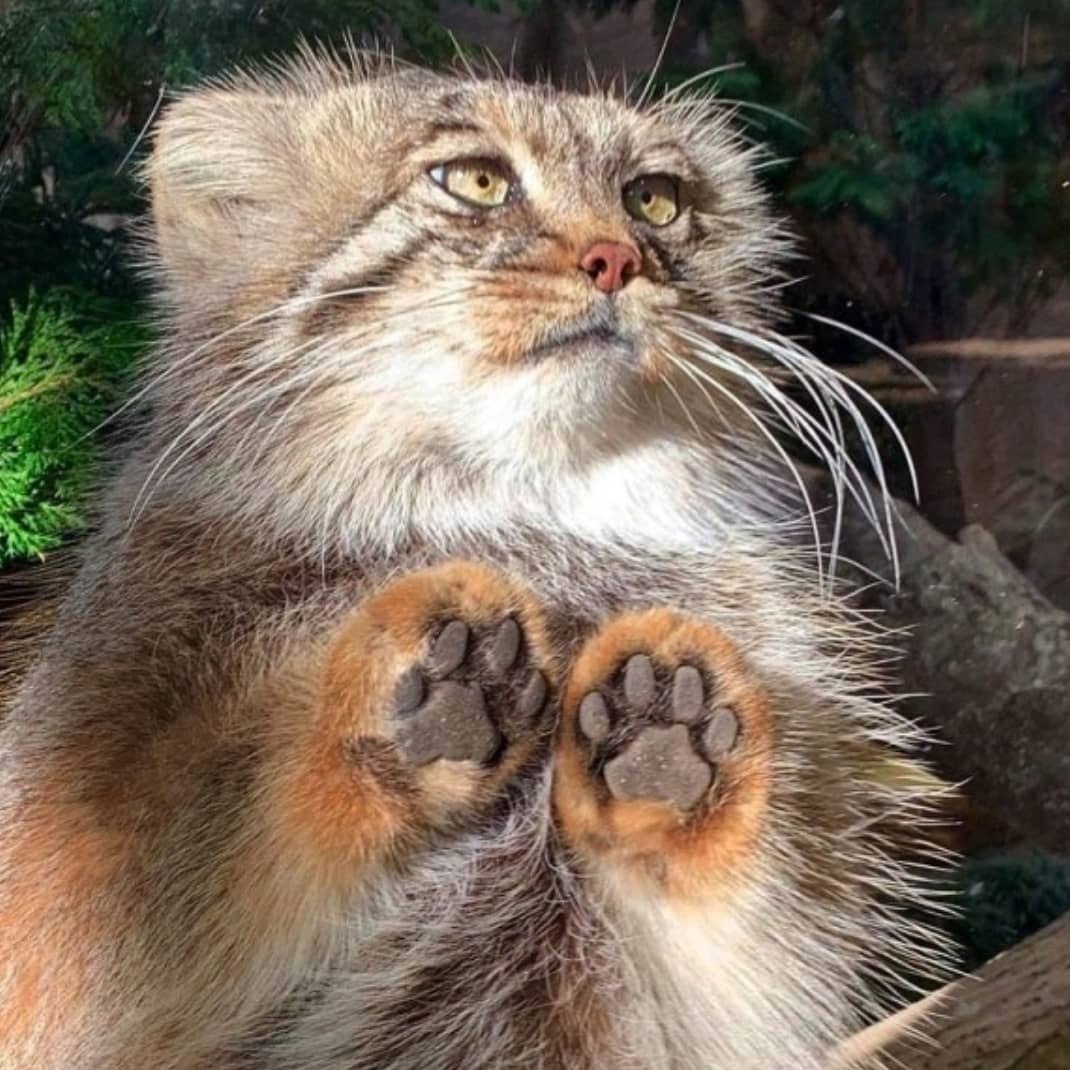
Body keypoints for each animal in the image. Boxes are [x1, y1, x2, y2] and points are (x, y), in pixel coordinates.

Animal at [4, 50, 950, 1070]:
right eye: (475, 181)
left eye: (654, 199)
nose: (617, 258)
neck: (525, 518)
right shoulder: (73, 845)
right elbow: (225, 815)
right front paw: (387, 704)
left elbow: (747, 939)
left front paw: (664, 747)